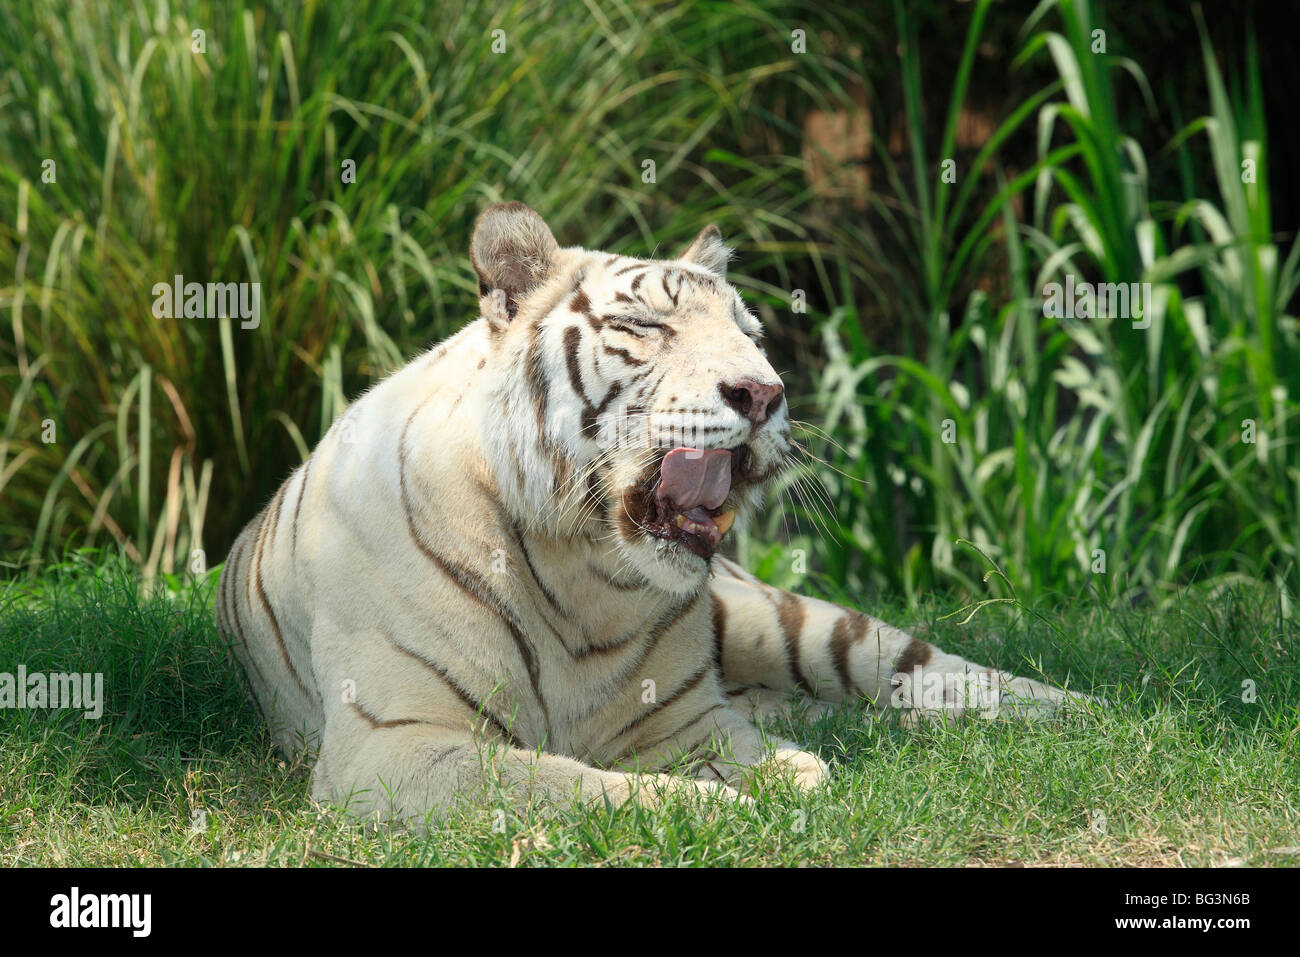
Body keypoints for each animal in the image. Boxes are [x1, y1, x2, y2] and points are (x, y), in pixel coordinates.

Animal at [215, 200, 1086, 821]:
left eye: (751, 333)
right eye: (648, 324)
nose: (765, 393)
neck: (580, 572)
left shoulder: (688, 722)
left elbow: (768, 761)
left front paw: (784, 779)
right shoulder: (395, 746)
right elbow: (565, 786)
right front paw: (719, 807)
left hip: (780, 617)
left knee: (920, 668)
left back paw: (1085, 709)